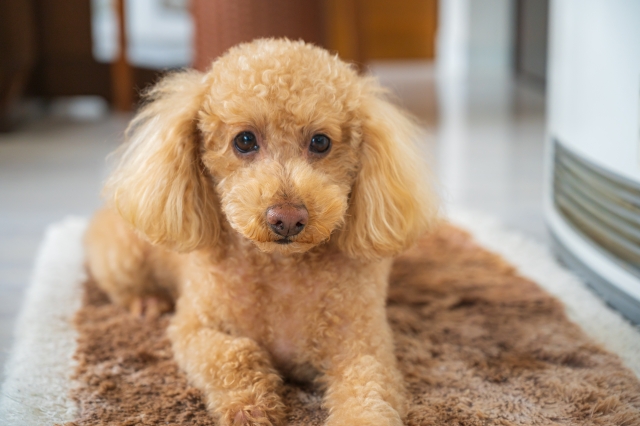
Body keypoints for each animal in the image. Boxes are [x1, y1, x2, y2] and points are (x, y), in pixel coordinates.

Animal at [85, 38, 438, 424]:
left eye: (320, 142)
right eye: (244, 140)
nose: (287, 218)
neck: (281, 267)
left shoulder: (362, 344)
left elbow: (367, 393)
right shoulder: (195, 328)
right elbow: (233, 354)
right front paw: (250, 406)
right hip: (124, 253)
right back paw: (146, 301)